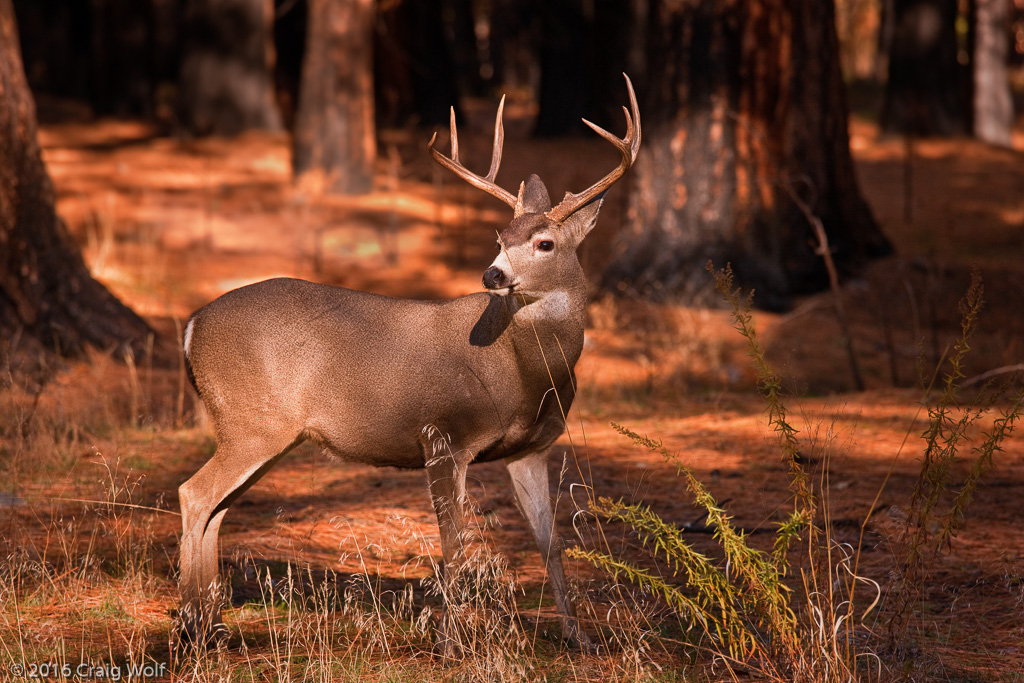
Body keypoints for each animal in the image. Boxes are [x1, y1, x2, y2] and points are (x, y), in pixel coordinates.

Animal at [177, 72, 638, 655]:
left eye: (544, 242)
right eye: (499, 238)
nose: (492, 275)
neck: (527, 372)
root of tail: (191, 325)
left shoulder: (530, 449)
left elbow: (550, 542)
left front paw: (579, 637)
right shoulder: (444, 433)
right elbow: (455, 545)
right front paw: (452, 644)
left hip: (265, 430)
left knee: (218, 507)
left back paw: (211, 625)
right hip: (251, 421)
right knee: (195, 494)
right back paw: (190, 629)